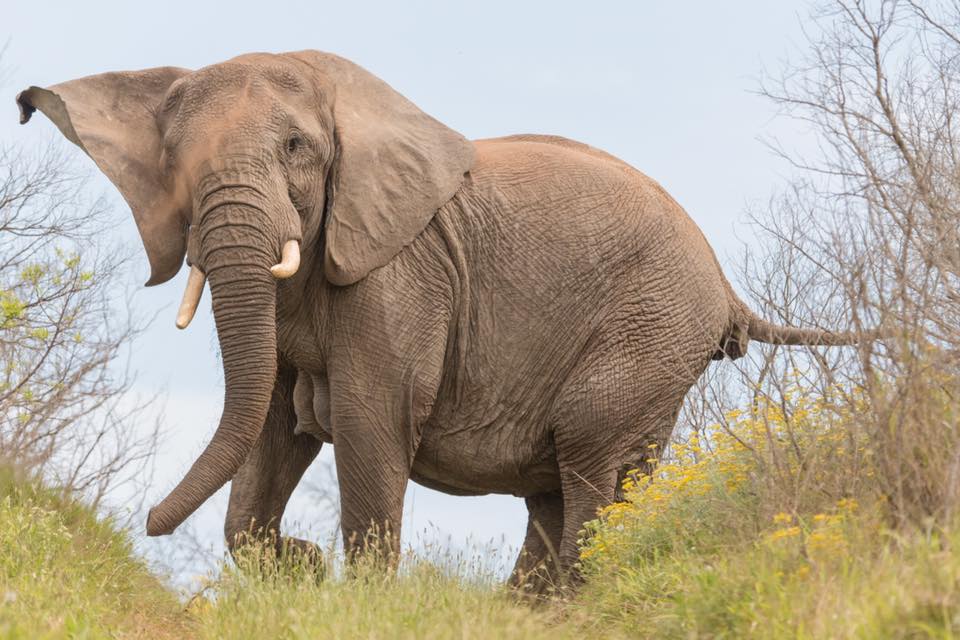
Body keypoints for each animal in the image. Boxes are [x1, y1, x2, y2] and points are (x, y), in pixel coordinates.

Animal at [16, 51, 862, 584]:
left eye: (295, 147)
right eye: (175, 162)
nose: (146, 521)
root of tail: (724, 285)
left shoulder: (396, 272)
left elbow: (370, 421)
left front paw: (341, 589)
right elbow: (271, 431)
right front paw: (295, 568)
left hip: (651, 332)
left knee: (591, 463)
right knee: (561, 491)